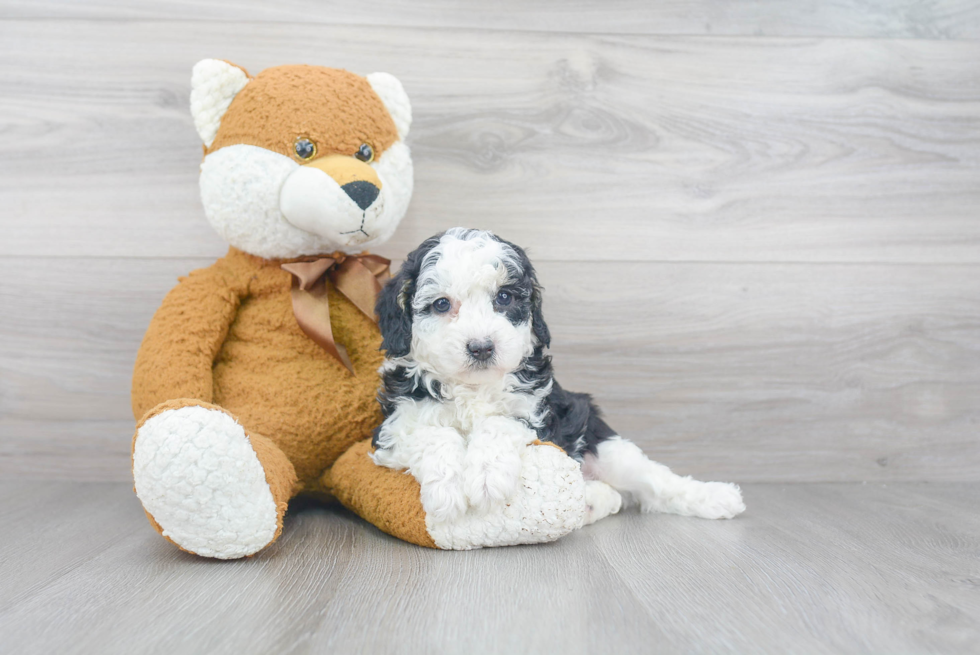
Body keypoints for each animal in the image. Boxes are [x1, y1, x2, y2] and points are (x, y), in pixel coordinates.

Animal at [372, 228, 748, 524]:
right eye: (440, 304)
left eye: (504, 297)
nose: (481, 347)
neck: (472, 388)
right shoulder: (390, 433)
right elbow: (432, 434)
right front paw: (447, 490)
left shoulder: (540, 418)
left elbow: (499, 423)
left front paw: (487, 475)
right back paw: (593, 501)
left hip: (605, 446)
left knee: (656, 482)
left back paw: (717, 497)